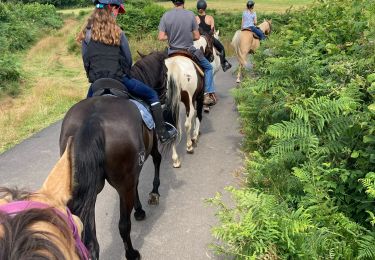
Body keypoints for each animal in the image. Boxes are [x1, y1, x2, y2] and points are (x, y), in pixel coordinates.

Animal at [59, 51, 178, 260]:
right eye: (165, 72)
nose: (164, 96)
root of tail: (93, 121)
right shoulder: (150, 148)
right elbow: (157, 161)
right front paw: (153, 194)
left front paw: (139, 208)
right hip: (122, 183)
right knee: (123, 225)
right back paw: (132, 253)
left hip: (88, 188)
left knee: (90, 240)